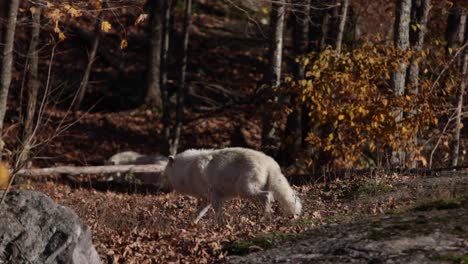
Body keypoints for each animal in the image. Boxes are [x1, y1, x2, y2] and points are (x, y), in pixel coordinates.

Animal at [163, 147, 302, 224]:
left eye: (165, 172)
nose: (162, 188)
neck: (187, 169)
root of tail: (270, 163)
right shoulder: (206, 200)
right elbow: (197, 214)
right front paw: (190, 226)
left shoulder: (214, 197)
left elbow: (218, 214)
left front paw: (218, 226)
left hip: (245, 190)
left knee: (267, 196)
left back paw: (265, 217)